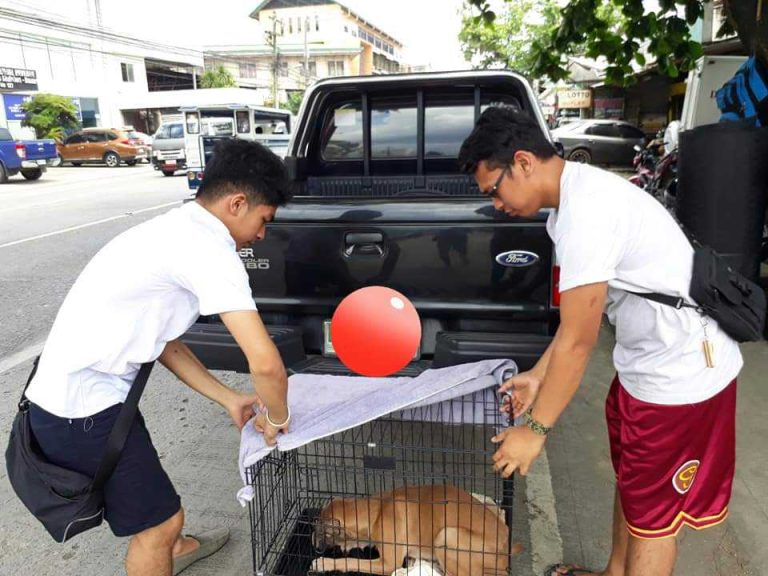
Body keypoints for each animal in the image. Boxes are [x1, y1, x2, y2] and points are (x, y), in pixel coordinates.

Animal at [308, 486, 512, 576]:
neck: (377, 509)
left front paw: (323, 563)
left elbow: (350, 561)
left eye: (320, 529)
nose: (311, 539)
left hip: (447, 535)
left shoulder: (387, 563)